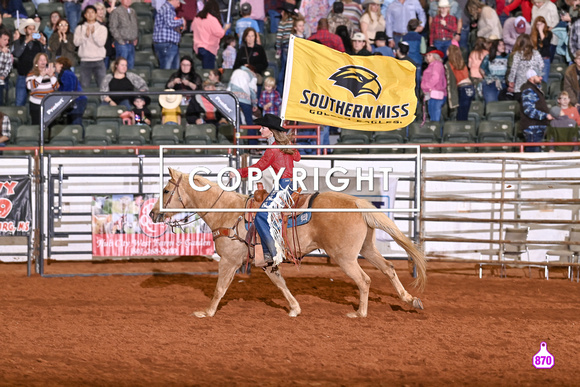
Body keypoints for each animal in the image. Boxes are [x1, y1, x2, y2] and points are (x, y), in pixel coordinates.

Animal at [150, 169, 426, 318]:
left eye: (165, 190)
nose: (153, 214)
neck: (228, 213)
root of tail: (356, 203)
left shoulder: (228, 261)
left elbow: (219, 289)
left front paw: (206, 313)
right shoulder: (267, 262)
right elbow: (281, 284)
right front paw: (294, 308)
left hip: (345, 257)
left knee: (365, 280)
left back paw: (360, 313)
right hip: (366, 248)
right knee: (388, 268)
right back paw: (410, 300)